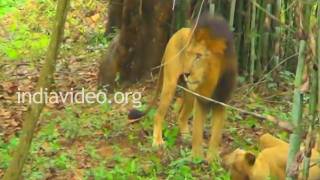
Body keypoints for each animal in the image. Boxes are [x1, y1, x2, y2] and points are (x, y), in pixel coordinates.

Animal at [129, 14, 236, 161]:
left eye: (199, 56)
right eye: (189, 53)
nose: (186, 73)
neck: (212, 79)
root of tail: (176, 33)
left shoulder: (221, 102)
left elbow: (216, 134)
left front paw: (212, 158)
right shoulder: (201, 101)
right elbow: (198, 130)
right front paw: (197, 157)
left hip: (189, 94)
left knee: (182, 115)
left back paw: (185, 136)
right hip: (170, 85)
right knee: (158, 115)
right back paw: (157, 141)